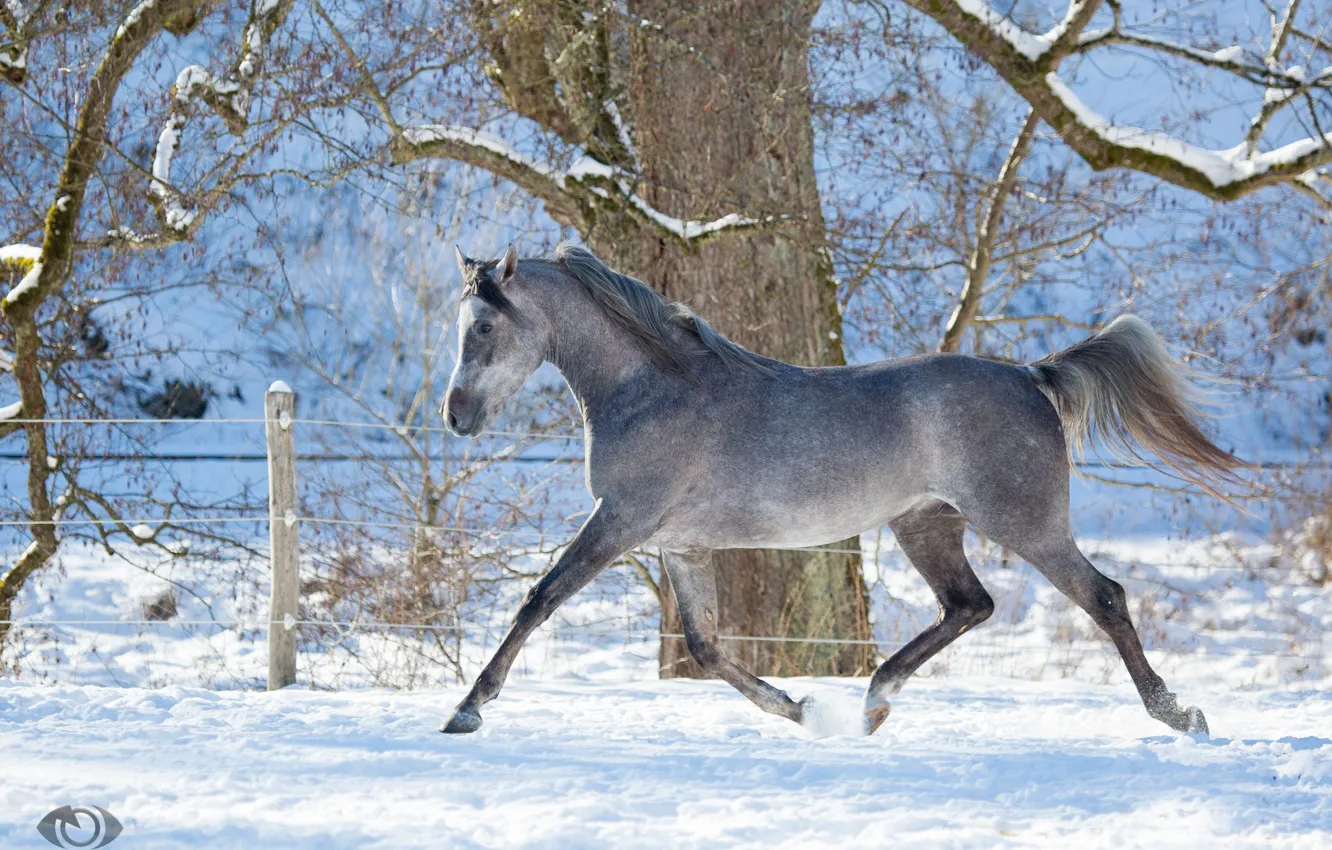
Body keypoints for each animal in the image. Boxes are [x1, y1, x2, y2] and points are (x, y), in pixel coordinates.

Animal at [439, 242, 1243, 737]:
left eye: (482, 327)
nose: (456, 415)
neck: (653, 389)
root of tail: (1031, 375)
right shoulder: (679, 545)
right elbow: (706, 647)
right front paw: (798, 710)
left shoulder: (620, 522)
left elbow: (538, 600)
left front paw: (466, 710)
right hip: (926, 525)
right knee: (968, 605)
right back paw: (871, 704)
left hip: (1025, 523)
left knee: (1104, 597)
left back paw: (1180, 716)